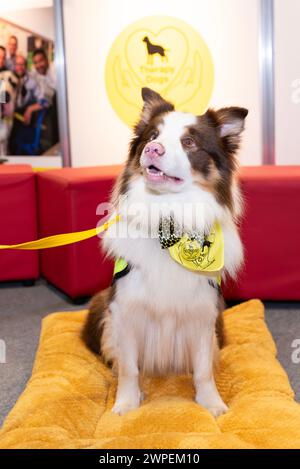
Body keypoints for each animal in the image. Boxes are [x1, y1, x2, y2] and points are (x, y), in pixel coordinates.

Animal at [82, 88, 248, 416]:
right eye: (152, 136)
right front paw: (126, 403)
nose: (153, 149)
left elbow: (203, 369)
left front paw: (211, 403)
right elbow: (129, 367)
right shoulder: (125, 309)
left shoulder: (203, 312)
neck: (169, 221)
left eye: (189, 142)